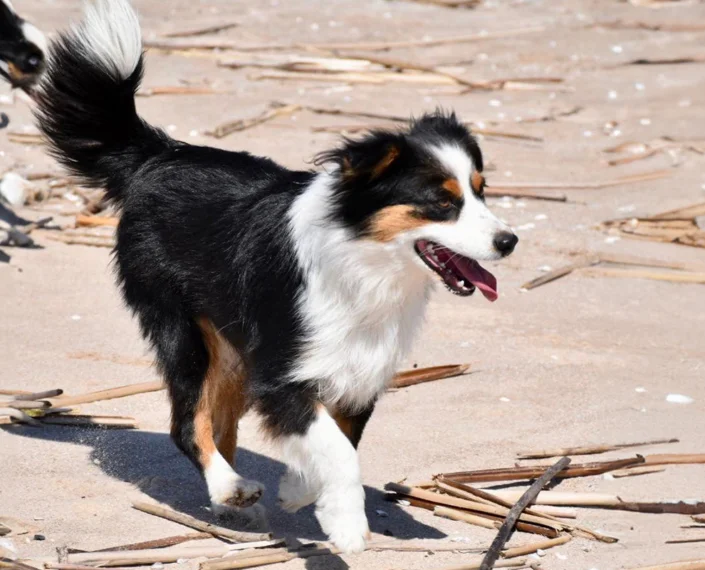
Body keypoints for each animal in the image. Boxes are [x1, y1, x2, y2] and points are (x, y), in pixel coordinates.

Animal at [34, 0, 516, 552]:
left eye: (481, 191)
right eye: (442, 202)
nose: (509, 241)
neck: (364, 259)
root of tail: (159, 156)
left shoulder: (355, 370)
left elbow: (333, 441)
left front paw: (299, 488)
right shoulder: (283, 369)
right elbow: (339, 451)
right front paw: (346, 523)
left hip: (230, 349)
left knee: (219, 426)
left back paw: (233, 501)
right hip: (185, 333)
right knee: (188, 424)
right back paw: (230, 487)